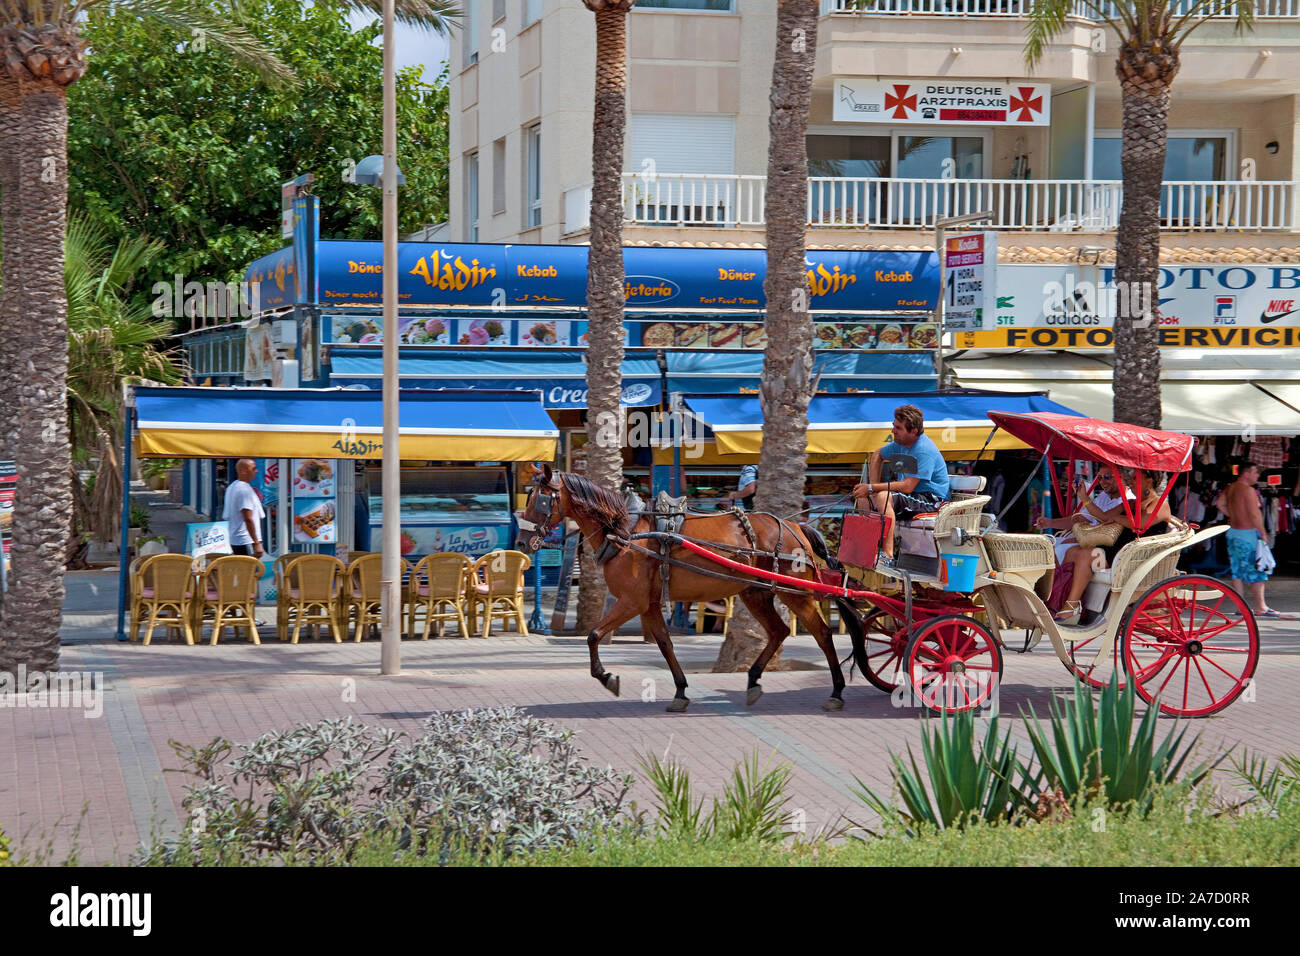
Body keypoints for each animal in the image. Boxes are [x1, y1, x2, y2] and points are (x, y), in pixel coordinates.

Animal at [512, 468, 857, 712]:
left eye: (540, 500)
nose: (521, 542)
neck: (626, 531)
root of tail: (796, 526)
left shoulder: (632, 600)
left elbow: (594, 635)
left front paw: (607, 677)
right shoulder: (648, 603)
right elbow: (665, 645)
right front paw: (679, 690)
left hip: (794, 591)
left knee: (822, 634)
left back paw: (837, 691)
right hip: (755, 592)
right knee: (779, 631)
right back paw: (753, 681)